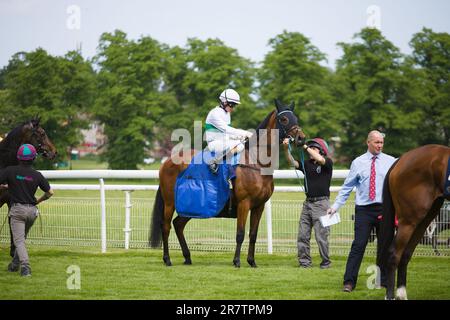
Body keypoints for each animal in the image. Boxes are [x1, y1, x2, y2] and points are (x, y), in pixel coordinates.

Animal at [150, 100, 306, 268]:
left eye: (295, 118)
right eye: (284, 119)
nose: (301, 138)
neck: (256, 162)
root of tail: (167, 162)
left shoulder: (259, 206)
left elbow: (253, 234)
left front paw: (252, 261)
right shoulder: (244, 203)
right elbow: (240, 234)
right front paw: (237, 261)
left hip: (191, 205)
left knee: (178, 224)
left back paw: (187, 257)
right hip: (170, 202)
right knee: (166, 226)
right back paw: (167, 259)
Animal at [376, 145, 450, 300]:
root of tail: (400, 160)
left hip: (424, 219)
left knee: (406, 253)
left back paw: (401, 293)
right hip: (408, 220)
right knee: (394, 253)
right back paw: (390, 295)